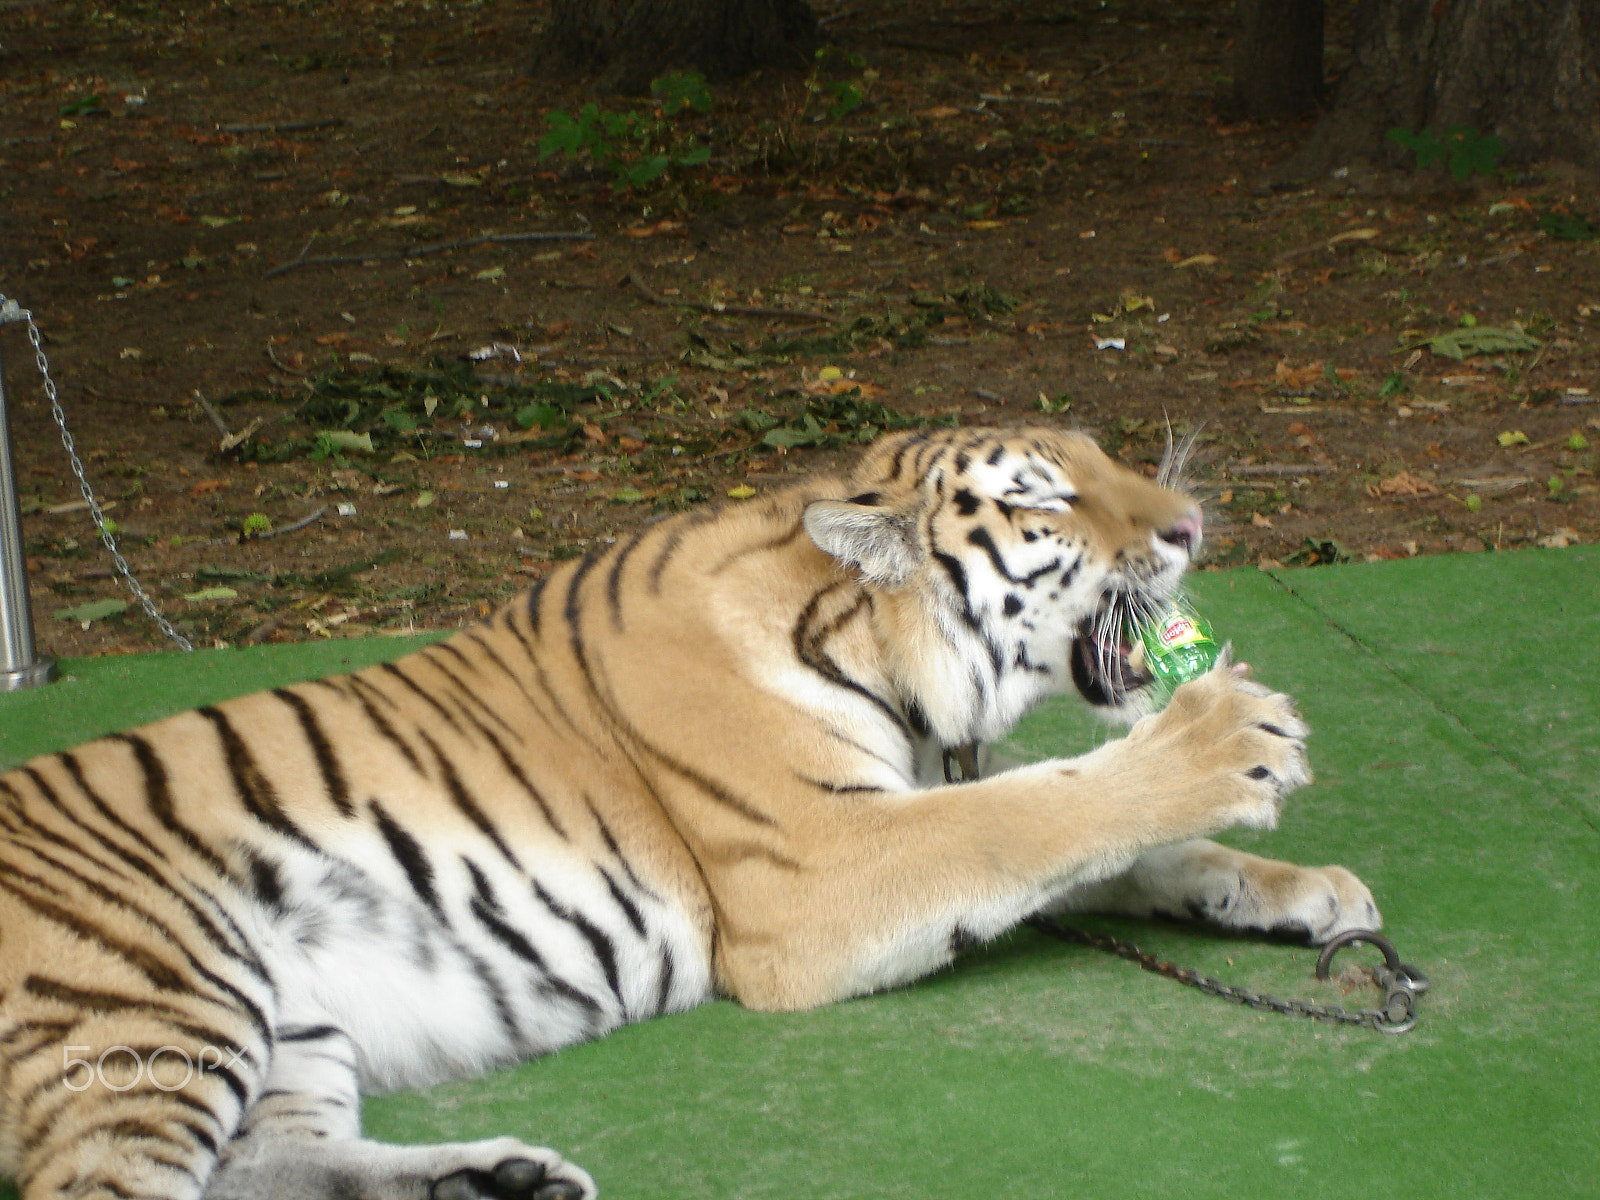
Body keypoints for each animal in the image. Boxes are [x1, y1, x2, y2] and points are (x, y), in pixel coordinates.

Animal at [0, 428, 1376, 1200]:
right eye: (1050, 500)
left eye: (1109, 463)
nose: (1189, 525)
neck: (891, 658)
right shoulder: (816, 872)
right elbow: (1038, 813)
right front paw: (1229, 738)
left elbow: (1107, 848)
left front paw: (1301, 895)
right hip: (154, 998)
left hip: (287, 1022)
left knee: (262, 1163)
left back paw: (497, 1182)